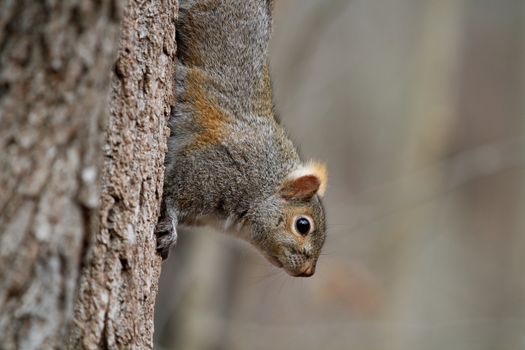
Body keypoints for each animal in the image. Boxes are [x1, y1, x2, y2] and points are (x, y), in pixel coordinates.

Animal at [157, 0, 328, 278]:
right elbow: (173, 191)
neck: (264, 182)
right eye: (303, 225)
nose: (307, 272)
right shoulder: (211, 167)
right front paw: (169, 229)